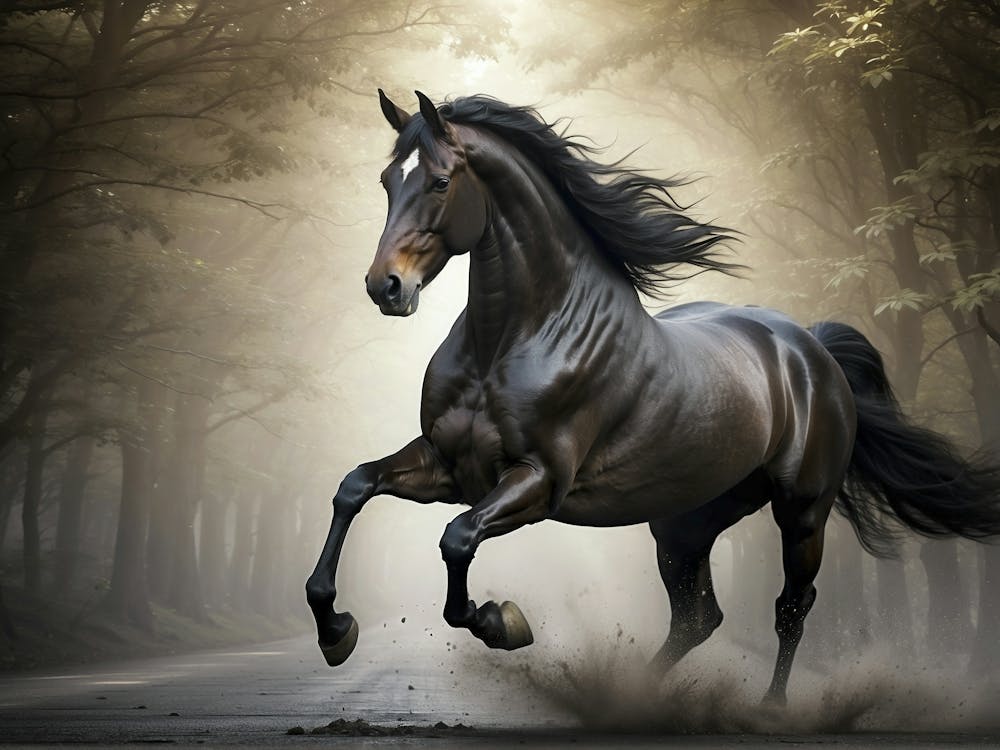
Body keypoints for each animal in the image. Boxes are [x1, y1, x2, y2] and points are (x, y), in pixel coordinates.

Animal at [306, 89, 1000, 705]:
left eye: (441, 181)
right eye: (387, 180)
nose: (385, 287)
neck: (513, 340)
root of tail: (811, 349)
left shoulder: (537, 481)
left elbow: (457, 539)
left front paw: (502, 622)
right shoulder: (449, 465)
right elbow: (355, 487)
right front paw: (336, 630)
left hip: (802, 510)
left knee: (790, 608)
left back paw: (770, 708)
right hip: (685, 520)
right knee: (699, 619)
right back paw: (636, 694)